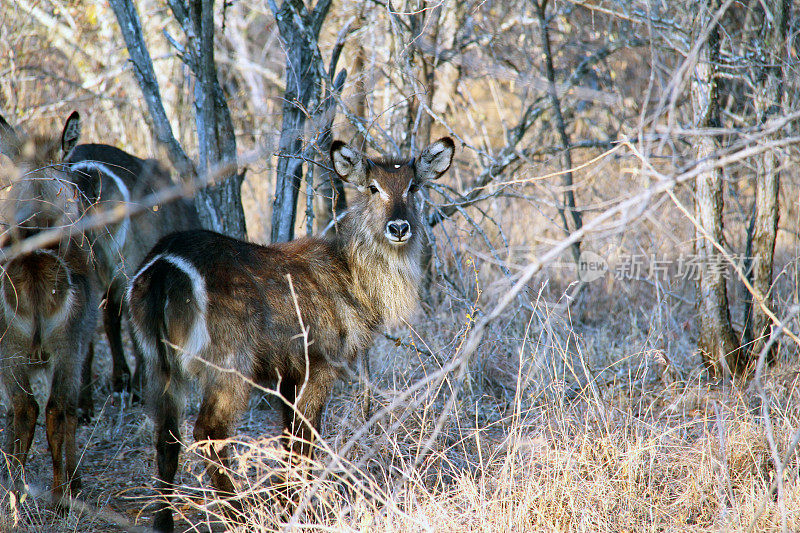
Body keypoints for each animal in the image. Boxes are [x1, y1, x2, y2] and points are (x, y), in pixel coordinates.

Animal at [0, 113, 98, 502]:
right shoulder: (79, 345)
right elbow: (68, 412)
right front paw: (77, 480)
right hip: (62, 347)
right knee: (53, 409)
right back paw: (60, 498)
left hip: (12, 349)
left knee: (24, 408)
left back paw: (14, 490)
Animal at [126, 136, 450, 528]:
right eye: (374, 188)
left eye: (413, 187)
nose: (399, 227)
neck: (353, 278)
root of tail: (163, 266)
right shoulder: (319, 364)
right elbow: (305, 440)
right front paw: (300, 509)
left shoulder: (286, 374)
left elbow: (287, 438)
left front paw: (287, 502)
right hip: (229, 364)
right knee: (208, 430)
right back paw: (239, 515)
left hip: (157, 360)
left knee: (166, 436)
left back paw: (165, 521)